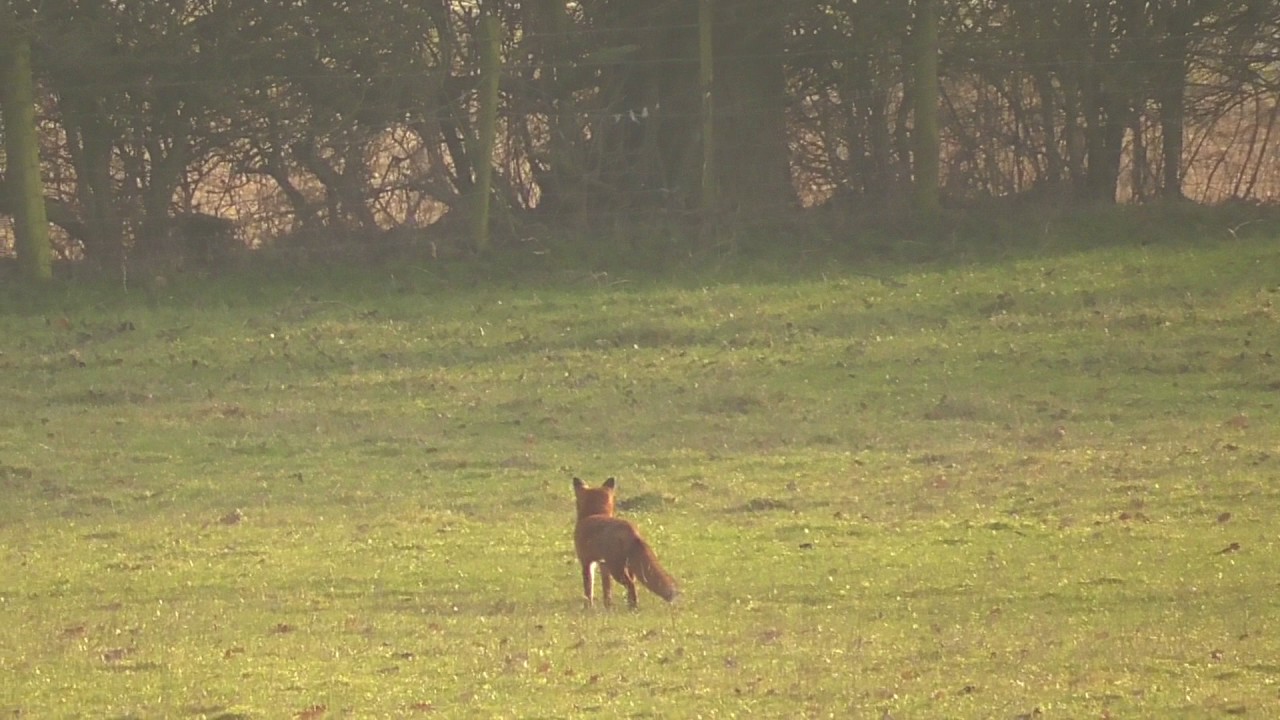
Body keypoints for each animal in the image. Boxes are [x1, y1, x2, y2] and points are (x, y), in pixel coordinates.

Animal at [572, 477, 678, 609]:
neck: (595, 513)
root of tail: (631, 529)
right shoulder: (603, 565)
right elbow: (607, 590)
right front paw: (607, 606)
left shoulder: (586, 562)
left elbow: (588, 590)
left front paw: (588, 607)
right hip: (628, 566)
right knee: (633, 585)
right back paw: (631, 605)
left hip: (617, 569)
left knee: (631, 584)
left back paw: (633, 607)